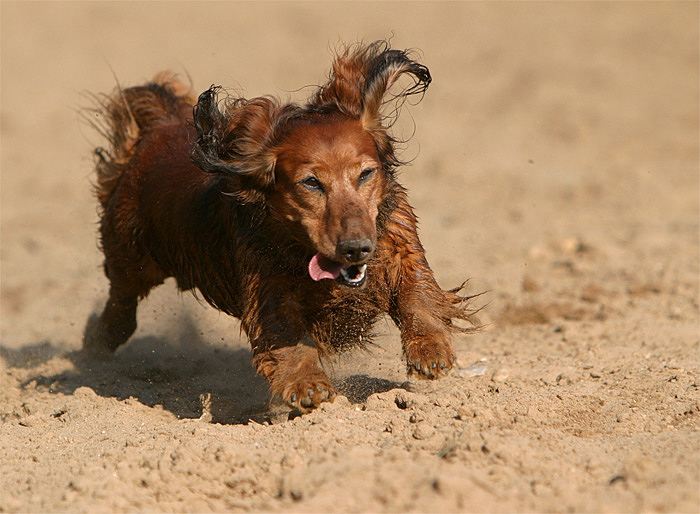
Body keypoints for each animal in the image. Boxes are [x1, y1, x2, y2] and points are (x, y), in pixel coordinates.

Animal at [83, 40, 476, 410]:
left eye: (366, 173)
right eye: (311, 183)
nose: (356, 248)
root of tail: (158, 128)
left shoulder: (398, 242)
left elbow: (416, 293)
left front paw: (430, 349)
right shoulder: (267, 288)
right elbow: (287, 336)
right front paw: (306, 384)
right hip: (131, 258)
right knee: (121, 310)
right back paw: (93, 347)